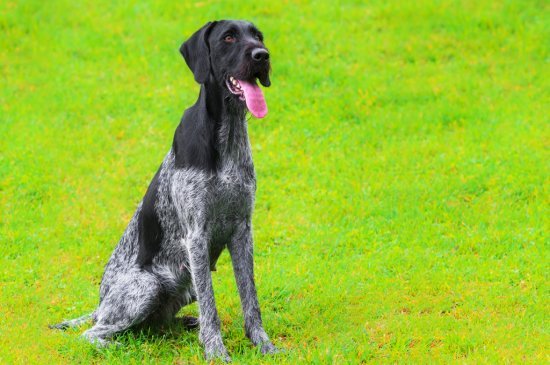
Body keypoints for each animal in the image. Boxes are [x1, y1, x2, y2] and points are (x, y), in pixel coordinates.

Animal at [50, 20, 278, 362]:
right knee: (92, 335)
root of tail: (100, 305)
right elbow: (212, 307)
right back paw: (119, 346)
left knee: (155, 325)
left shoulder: (242, 230)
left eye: (258, 36)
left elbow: (250, 298)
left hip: (184, 286)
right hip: (148, 285)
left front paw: (262, 344)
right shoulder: (196, 237)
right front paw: (216, 351)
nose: (262, 55)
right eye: (228, 37)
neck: (226, 133)